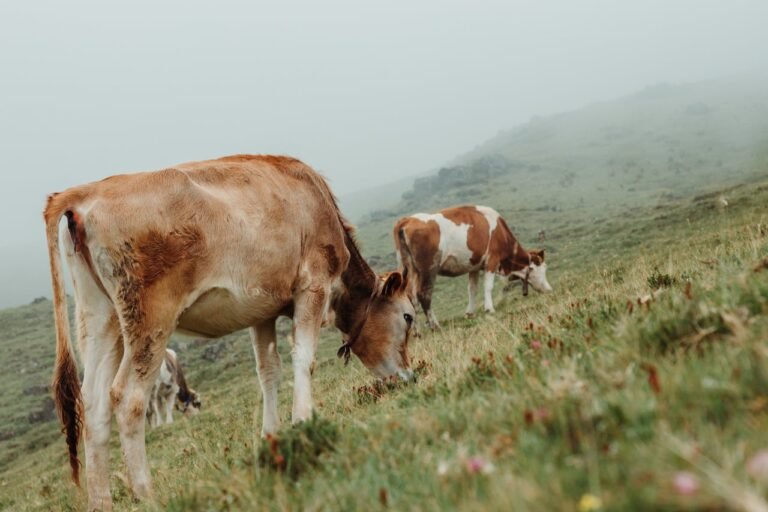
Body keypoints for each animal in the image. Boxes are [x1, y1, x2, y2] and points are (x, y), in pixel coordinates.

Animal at [42, 154, 414, 510]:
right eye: (408, 317)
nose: (409, 376)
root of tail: (85, 192)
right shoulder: (313, 285)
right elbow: (304, 359)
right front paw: (303, 420)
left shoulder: (262, 309)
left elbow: (268, 371)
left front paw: (271, 435)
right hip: (150, 318)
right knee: (127, 397)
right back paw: (145, 493)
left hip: (100, 319)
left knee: (93, 403)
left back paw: (100, 501)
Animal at [392, 204, 548, 328]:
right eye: (538, 268)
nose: (548, 289)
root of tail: (407, 220)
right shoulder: (492, 260)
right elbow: (488, 286)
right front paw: (489, 309)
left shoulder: (474, 266)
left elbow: (472, 290)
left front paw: (470, 313)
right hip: (428, 268)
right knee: (424, 295)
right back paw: (434, 325)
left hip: (410, 269)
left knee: (411, 297)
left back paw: (416, 330)